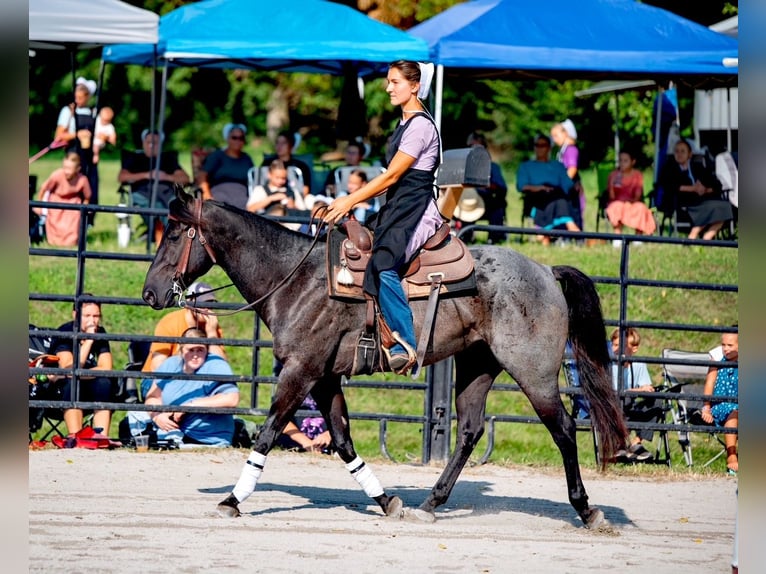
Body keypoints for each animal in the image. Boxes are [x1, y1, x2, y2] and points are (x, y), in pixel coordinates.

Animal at [141, 195, 628, 532]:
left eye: (173, 234)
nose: (150, 292)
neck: (296, 279)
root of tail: (546, 271)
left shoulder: (301, 371)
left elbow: (267, 433)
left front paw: (232, 500)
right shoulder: (324, 377)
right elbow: (343, 441)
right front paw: (387, 500)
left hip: (533, 371)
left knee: (563, 429)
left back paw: (588, 510)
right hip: (477, 364)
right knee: (470, 431)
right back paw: (429, 504)